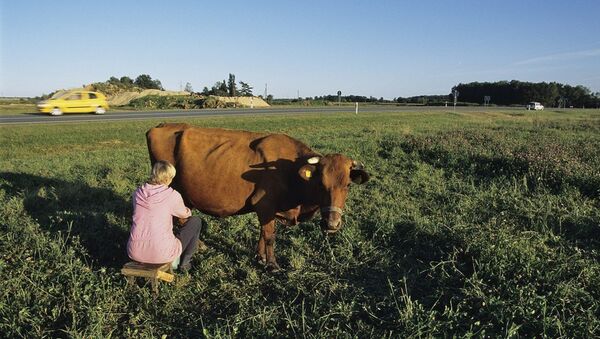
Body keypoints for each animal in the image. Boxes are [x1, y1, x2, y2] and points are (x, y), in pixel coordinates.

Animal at [147, 122, 368, 270]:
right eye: (321, 184)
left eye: (348, 185)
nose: (332, 224)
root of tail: (162, 125)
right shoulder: (265, 205)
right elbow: (269, 236)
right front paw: (272, 264)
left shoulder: (267, 209)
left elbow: (263, 233)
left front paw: (260, 257)